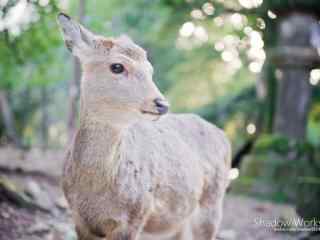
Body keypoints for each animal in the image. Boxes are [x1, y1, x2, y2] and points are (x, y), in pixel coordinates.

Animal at [57, 12, 231, 240]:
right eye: (117, 66)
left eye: (150, 70)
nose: (162, 104)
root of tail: (224, 137)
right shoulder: (78, 218)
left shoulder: (136, 215)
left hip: (212, 203)